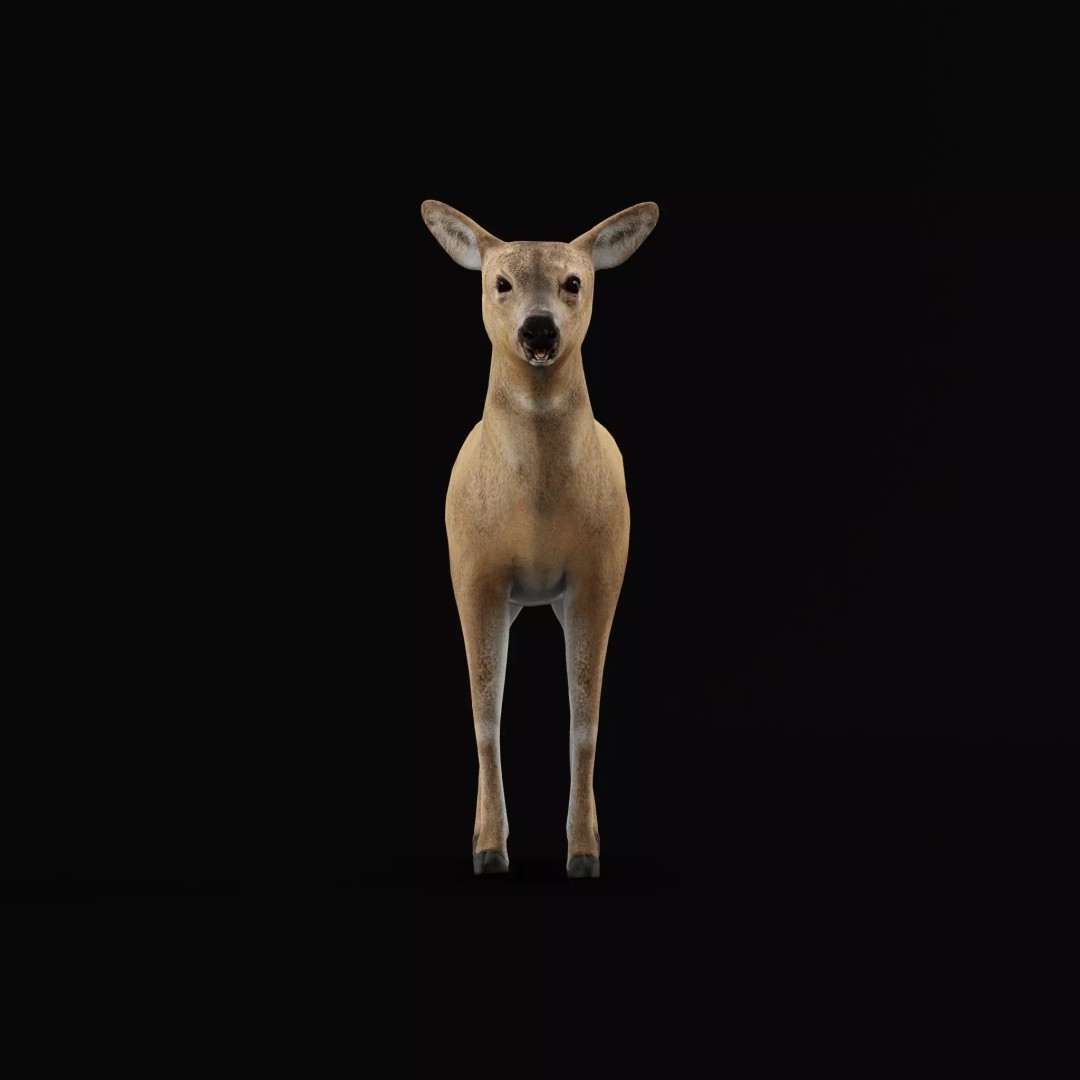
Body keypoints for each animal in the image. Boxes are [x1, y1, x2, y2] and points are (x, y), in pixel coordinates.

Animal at [421, 200, 658, 878]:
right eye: (500, 282)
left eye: (573, 281)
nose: (539, 330)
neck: (537, 516)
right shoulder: (473, 571)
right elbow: (485, 716)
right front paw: (488, 848)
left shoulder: (600, 572)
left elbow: (584, 722)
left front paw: (583, 851)